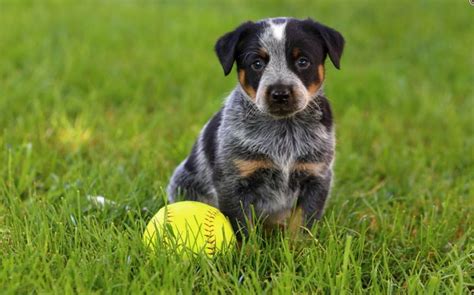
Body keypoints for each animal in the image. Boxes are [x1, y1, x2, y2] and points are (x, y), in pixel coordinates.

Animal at [167, 16, 344, 239]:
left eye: (303, 61)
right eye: (257, 64)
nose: (280, 93)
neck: (283, 131)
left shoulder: (316, 176)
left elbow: (302, 226)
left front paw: (298, 247)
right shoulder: (234, 181)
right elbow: (243, 229)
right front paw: (248, 249)